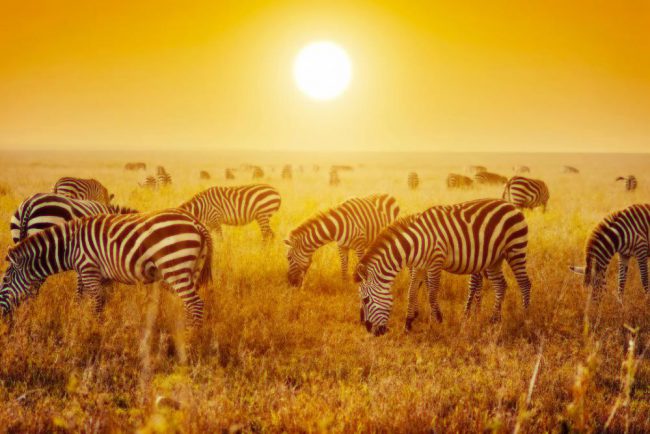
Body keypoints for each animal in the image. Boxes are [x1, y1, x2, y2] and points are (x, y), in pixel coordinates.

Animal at [0, 210, 213, 325]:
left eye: (5, 280)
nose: (2, 316)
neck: (70, 246)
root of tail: (195, 222)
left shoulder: (88, 269)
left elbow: (95, 303)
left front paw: (94, 332)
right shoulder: (99, 275)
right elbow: (91, 300)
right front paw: (86, 323)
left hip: (175, 266)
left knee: (196, 303)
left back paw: (191, 337)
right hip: (191, 269)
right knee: (189, 304)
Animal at [354, 199, 532, 336]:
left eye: (366, 299)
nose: (370, 331)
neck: (416, 243)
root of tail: (510, 205)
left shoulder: (435, 262)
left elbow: (432, 294)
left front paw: (436, 322)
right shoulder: (419, 266)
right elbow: (411, 292)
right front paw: (408, 324)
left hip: (515, 249)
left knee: (524, 283)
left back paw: (525, 318)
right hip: (494, 259)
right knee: (501, 285)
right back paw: (494, 320)